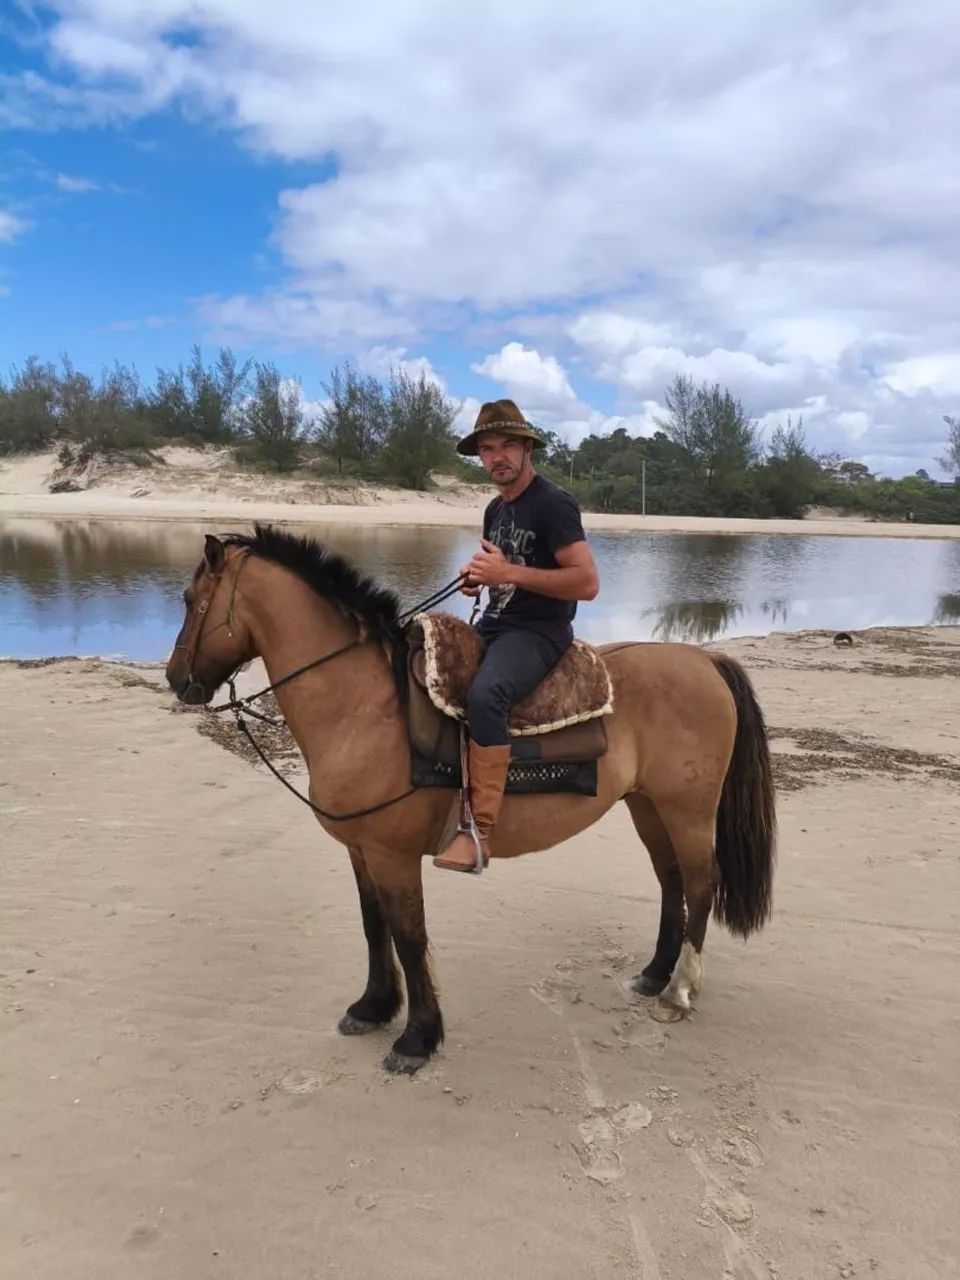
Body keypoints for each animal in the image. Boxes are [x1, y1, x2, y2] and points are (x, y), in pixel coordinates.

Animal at [166, 525, 776, 1075]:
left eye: (191, 602)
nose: (175, 679)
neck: (364, 705)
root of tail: (704, 662)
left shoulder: (392, 855)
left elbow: (410, 938)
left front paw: (417, 1038)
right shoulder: (361, 851)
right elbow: (373, 925)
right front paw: (373, 1006)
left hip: (687, 810)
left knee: (701, 884)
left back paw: (678, 992)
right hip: (647, 805)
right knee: (671, 882)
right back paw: (654, 975)